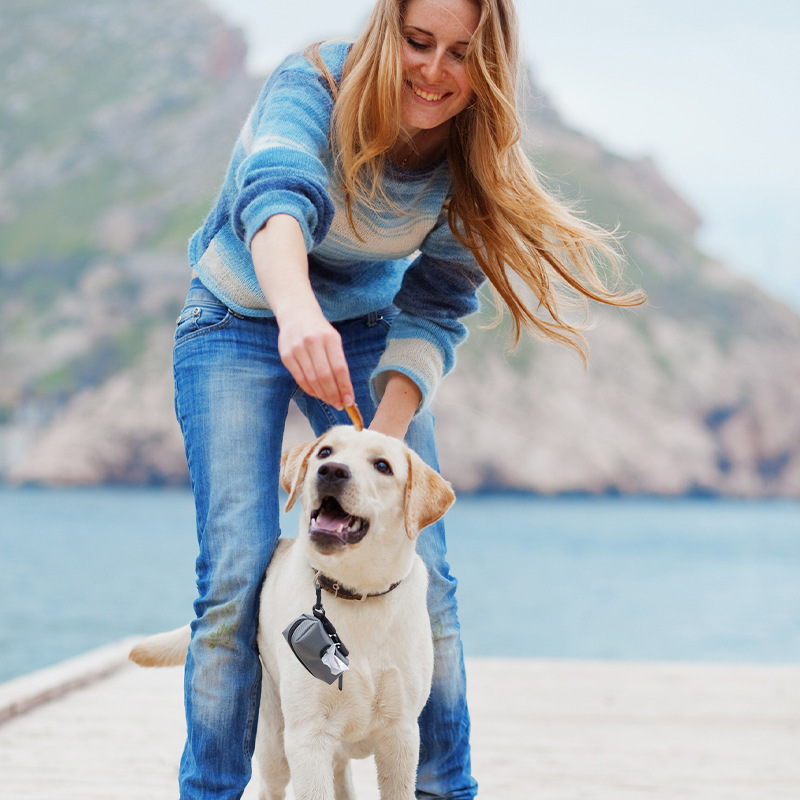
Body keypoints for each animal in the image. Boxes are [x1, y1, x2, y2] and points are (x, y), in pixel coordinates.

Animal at [131, 428, 456, 800]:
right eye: (325, 452)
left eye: (383, 466)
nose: (331, 471)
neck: (355, 591)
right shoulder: (307, 737)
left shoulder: (400, 735)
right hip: (275, 742)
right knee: (270, 787)